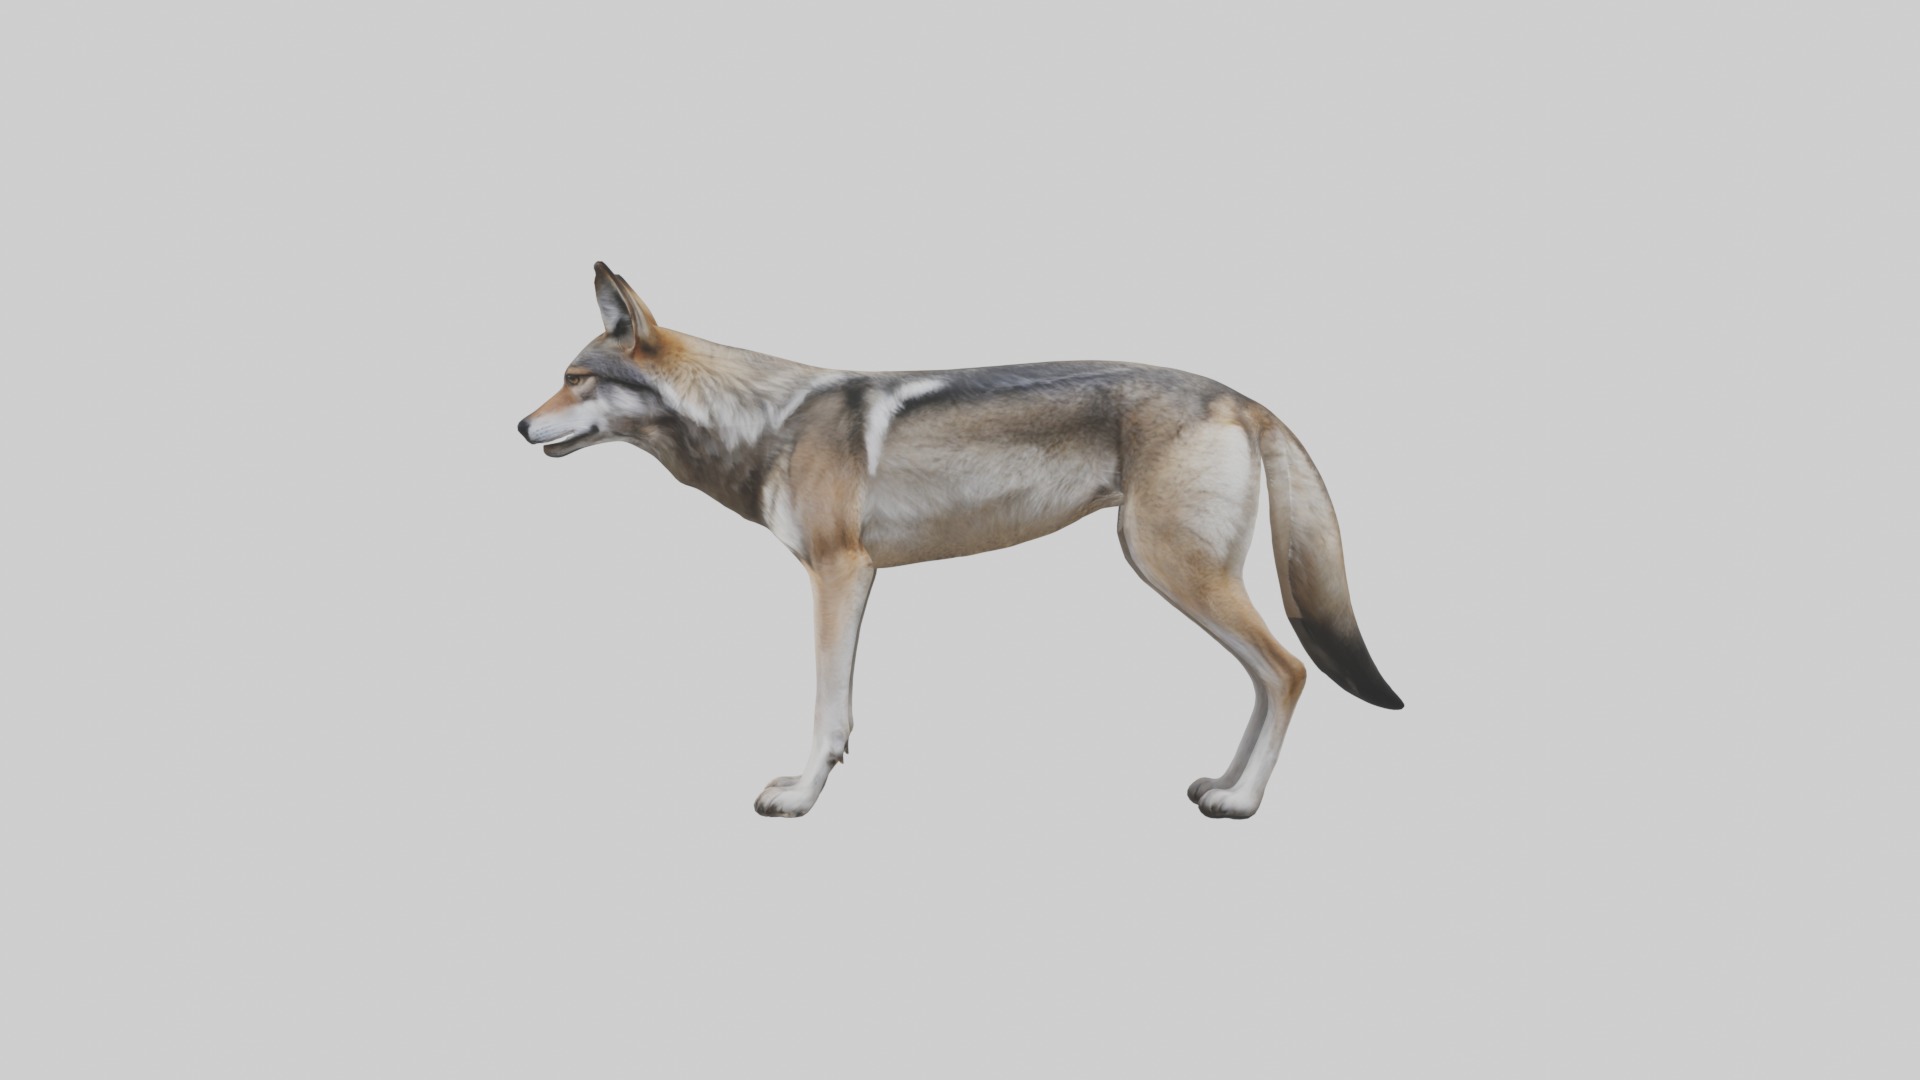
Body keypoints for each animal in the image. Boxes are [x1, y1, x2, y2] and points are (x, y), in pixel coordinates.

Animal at [519, 263, 1403, 819]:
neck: (763, 422)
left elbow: (826, 708)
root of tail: (1241, 396)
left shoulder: (839, 575)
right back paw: (1222, 782)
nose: (520, 427)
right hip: (1176, 573)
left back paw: (1243, 803)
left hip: (1176, 571)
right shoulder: (854, 579)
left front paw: (800, 798)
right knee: (1266, 678)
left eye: (574, 378)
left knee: (1288, 671)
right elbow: (838, 710)